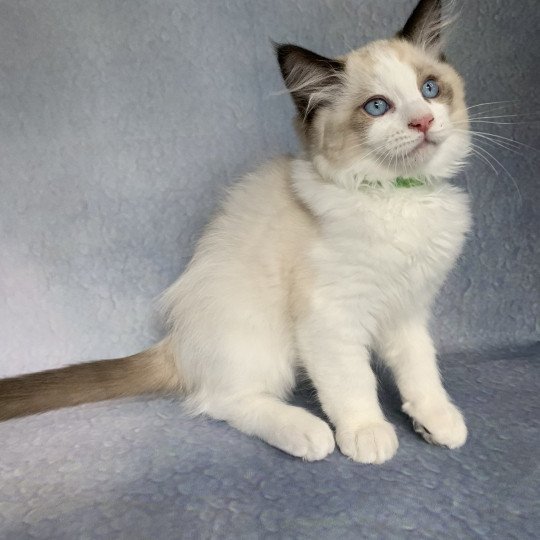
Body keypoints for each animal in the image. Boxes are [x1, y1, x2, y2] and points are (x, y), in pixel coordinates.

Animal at [0, 0, 472, 464]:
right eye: (377, 107)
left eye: (429, 90)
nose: (423, 121)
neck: (398, 196)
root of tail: (177, 343)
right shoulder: (331, 317)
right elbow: (352, 383)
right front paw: (368, 434)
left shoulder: (408, 308)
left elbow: (420, 369)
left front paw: (436, 421)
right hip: (263, 339)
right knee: (222, 401)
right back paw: (308, 433)